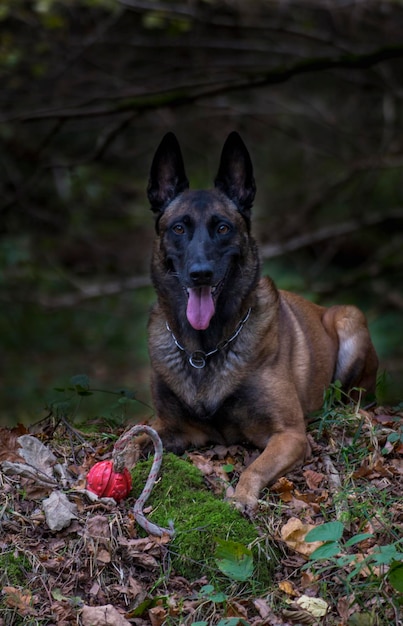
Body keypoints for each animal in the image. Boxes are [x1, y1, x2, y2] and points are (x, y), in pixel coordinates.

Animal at [145, 129, 378, 510]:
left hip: (350, 318)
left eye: (223, 228)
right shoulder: (173, 427)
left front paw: (240, 498)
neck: (206, 349)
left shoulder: (290, 435)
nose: (200, 274)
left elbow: (254, 467)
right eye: (178, 228)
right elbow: (134, 437)